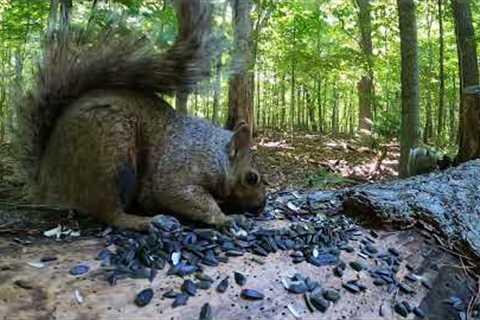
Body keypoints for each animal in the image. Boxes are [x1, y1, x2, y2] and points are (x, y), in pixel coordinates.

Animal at [14, 0, 266, 230]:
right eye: (252, 177)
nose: (262, 206)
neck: (216, 155)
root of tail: (46, 181)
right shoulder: (181, 169)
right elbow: (183, 195)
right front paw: (226, 219)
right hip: (110, 155)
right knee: (110, 213)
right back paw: (147, 221)